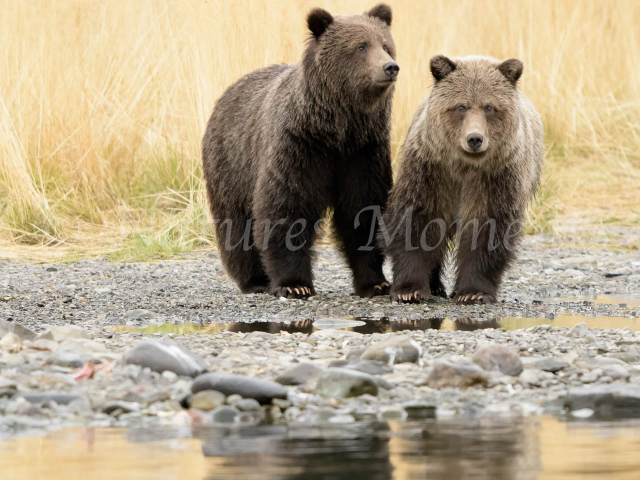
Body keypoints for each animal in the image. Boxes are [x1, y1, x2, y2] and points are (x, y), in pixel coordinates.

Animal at [202, 5, 399, 299]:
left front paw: (376, 282)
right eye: (361, 46)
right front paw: (294, 283)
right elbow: (287, 208)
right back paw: (255, 280)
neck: (337, 129)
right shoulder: (299, 148)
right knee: (235, 225)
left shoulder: (363, 152)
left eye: (386, 45)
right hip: (231, 165)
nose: (390, 67)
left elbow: (363, 210)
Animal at [381, 55, 543, 304]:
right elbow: (417, 221)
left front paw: (472, 292)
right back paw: (436, 286)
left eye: (489, 107)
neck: (463, 167)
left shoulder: (495, 178)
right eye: (461, 106)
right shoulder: (431, 171)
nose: (474, 138)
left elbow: (487, 229)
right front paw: (410, 289)